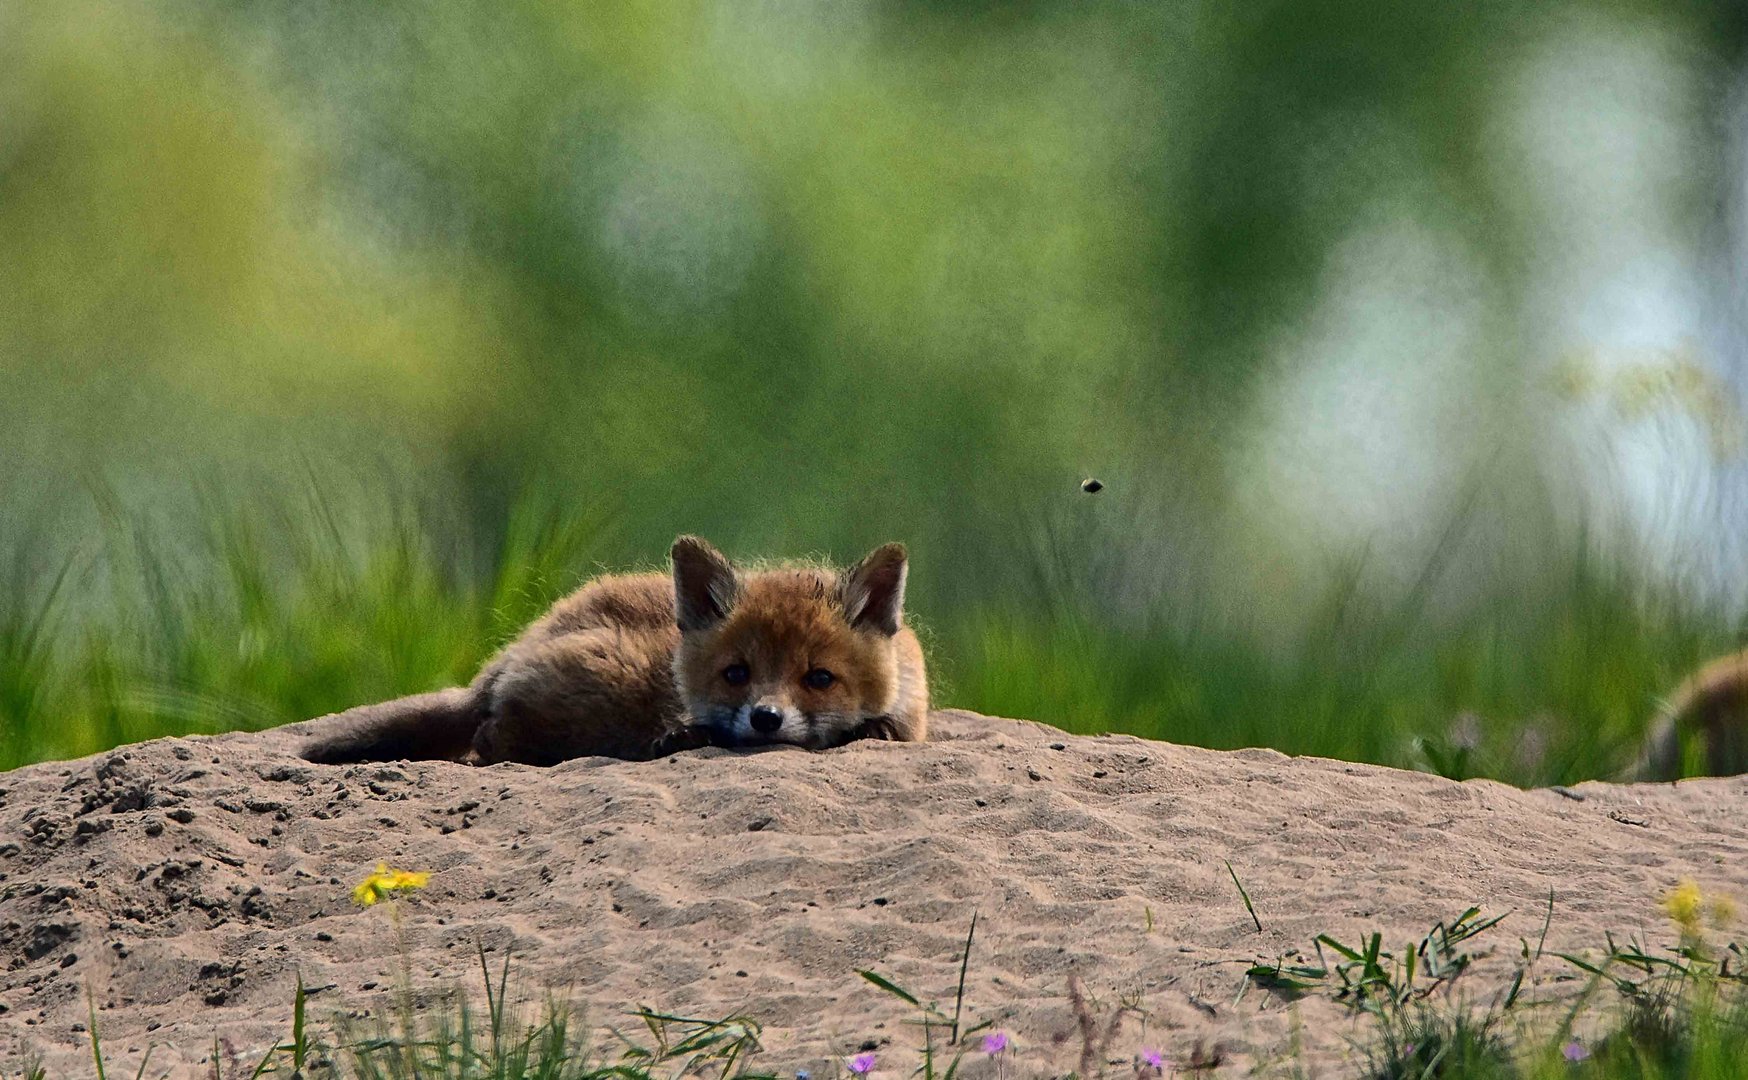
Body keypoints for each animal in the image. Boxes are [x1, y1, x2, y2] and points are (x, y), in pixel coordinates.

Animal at [297, 534, 929, 761]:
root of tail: (502, 661)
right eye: (737, 674)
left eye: (819, 678)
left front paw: (874, 726)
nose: (766, 718)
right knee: (492, 742)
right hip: (604, 679)